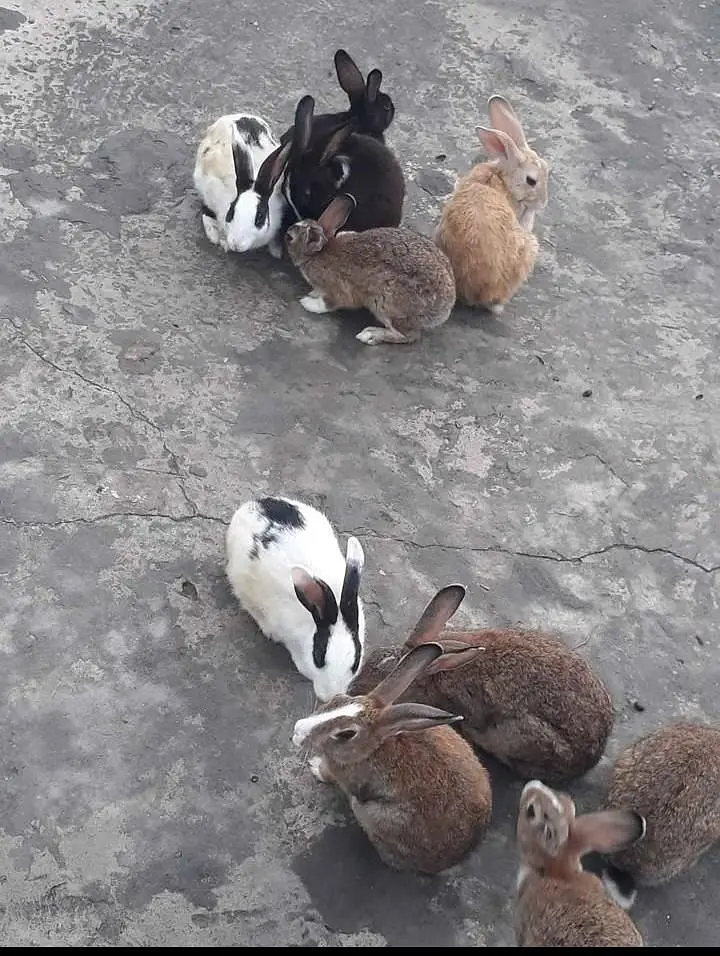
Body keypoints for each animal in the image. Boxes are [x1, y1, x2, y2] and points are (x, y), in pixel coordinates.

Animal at [285, 193, 456, 346]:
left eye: (290, 238)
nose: (285, 232)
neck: (318, 253)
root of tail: (446, 308)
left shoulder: (338, 289)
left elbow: (329, 304)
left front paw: (308, 303)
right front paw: (313, 293)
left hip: (386, 307)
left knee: (408, 336)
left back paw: (371, 335)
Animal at [292, 641, 492, 874]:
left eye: (346, 734)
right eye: (338, 700)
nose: (297, 731)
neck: (373, 748)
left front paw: (315, 767)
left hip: (373, 813)